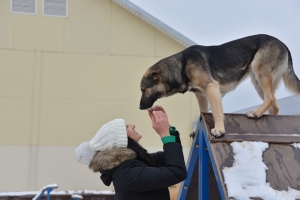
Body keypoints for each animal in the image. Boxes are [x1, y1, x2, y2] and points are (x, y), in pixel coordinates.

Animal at [138, 34, 300, 138]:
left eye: (144, 90)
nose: (140, 107)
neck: (182, 65)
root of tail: (283, 44)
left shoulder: (211, 87)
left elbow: (216, 111)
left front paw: (219, 129)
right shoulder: (201, 94)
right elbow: (202, 113)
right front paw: (198, 130)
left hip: (259, 72)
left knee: (271, 97)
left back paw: (255, 112)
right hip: (257, 81)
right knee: (274, 105)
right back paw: (262, 115)